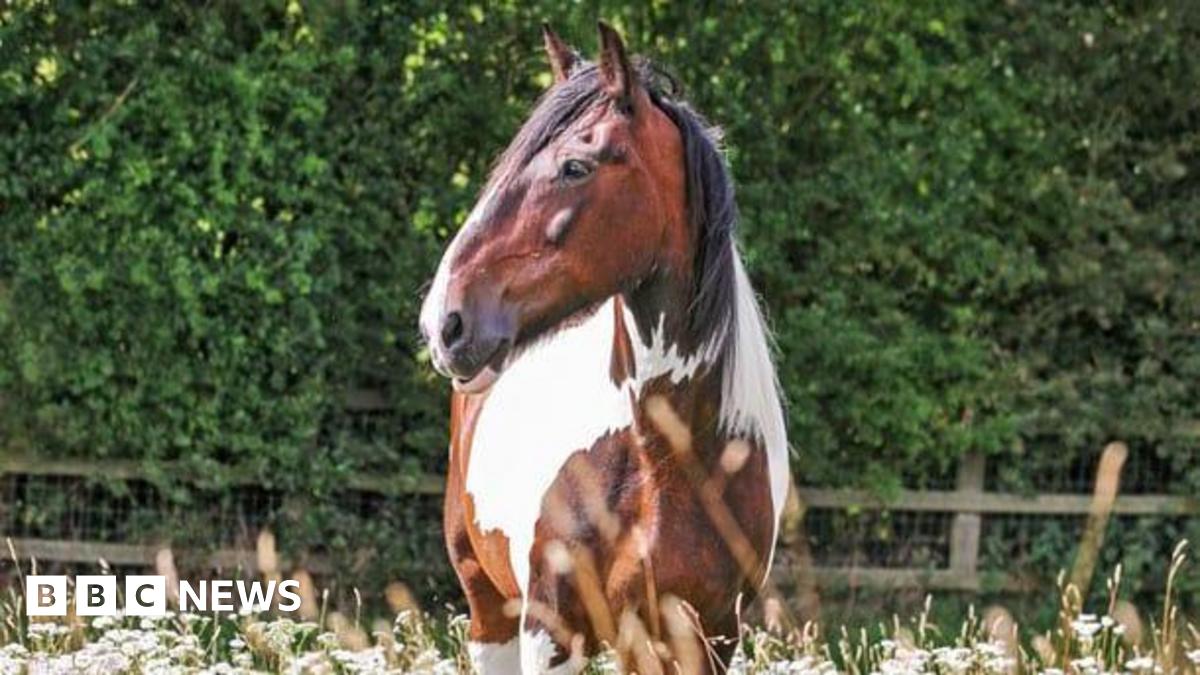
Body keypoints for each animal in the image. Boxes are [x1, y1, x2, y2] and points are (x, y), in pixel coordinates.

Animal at [419, 22, 788, 674]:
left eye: (574, 166)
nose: (446, 321)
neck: (664, 462)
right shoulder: (550, 630)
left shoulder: (710, 635)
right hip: (489, 609)